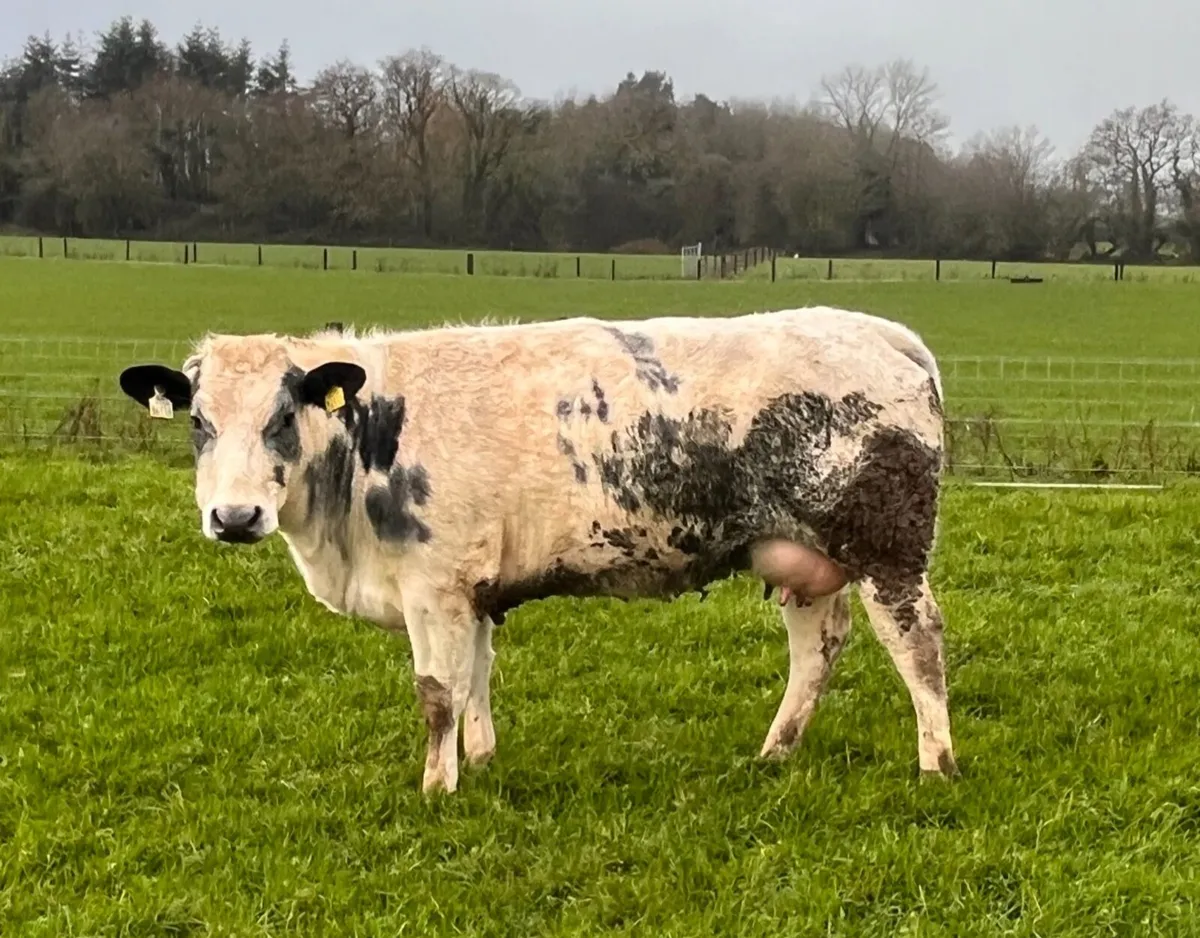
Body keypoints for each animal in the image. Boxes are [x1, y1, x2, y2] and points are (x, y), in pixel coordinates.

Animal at [117, 306, 957, 794]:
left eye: (284, 415)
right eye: (199, 422)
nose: (234, 516)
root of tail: (878, 330)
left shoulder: (435, 584)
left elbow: (436, 692)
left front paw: (438, 787)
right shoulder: (472, 588)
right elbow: (476, 678)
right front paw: (482, 760)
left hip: (887, 548)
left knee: (917, 644)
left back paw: (935, 763)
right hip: (800, 556)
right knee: (817, 648)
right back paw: (775, 752)